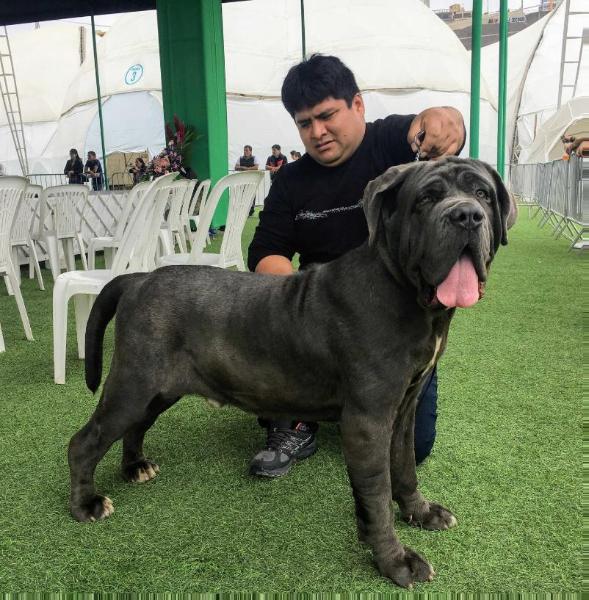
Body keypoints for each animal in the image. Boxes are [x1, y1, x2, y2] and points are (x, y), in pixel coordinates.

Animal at [68, 157, 510, 588]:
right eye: (425, 198)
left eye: (482, 194)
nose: (467, 216)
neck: (402, 290)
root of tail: (139, 278)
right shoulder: (368, 421)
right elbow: (378, 494)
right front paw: (396, 561)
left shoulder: (404, 409)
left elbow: (403, 469)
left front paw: (421, 513)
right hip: (134, 383)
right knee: (85, 441)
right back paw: (86, 504)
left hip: (157, 390)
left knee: (134, 427)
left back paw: (135, 467)